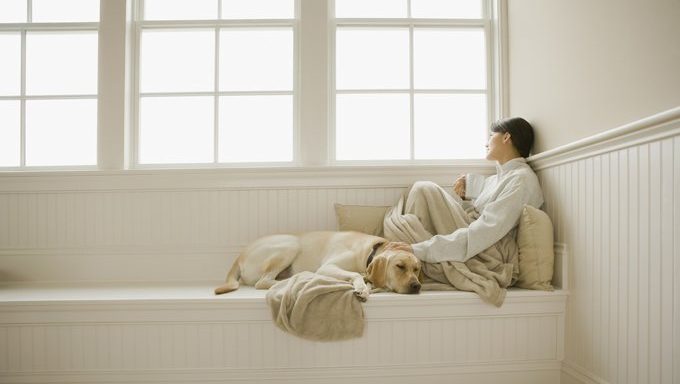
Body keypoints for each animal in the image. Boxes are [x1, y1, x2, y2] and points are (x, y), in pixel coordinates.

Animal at [215, 231, 422, 300]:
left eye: (417, 269)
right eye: (400, 266)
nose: (417, 286)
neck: (368, 253)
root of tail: (240, 256)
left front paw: (367, 286)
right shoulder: (329, 267)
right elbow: (356, 275)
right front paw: (362, 288)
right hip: (291, 244)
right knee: (263, 282)